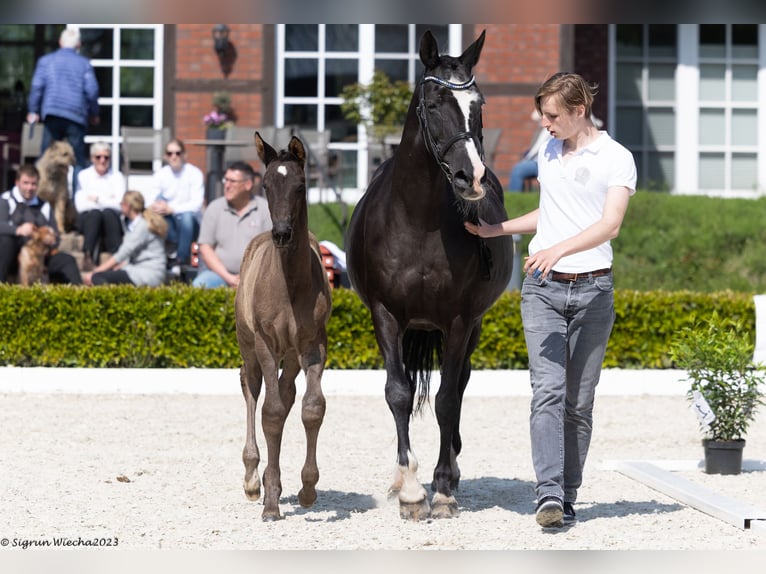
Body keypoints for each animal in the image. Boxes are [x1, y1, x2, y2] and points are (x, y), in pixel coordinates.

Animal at [348, 29, 516, 520]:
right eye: (435, 101)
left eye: (479, 104)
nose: (471, 177)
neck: (417, 220)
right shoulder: (386, 316)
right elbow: (398, 393)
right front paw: (409, 489)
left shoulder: (459, 320)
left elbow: (445, 399)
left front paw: (441, 489)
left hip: (472, 327)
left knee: (458, 387)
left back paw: (452, 473)